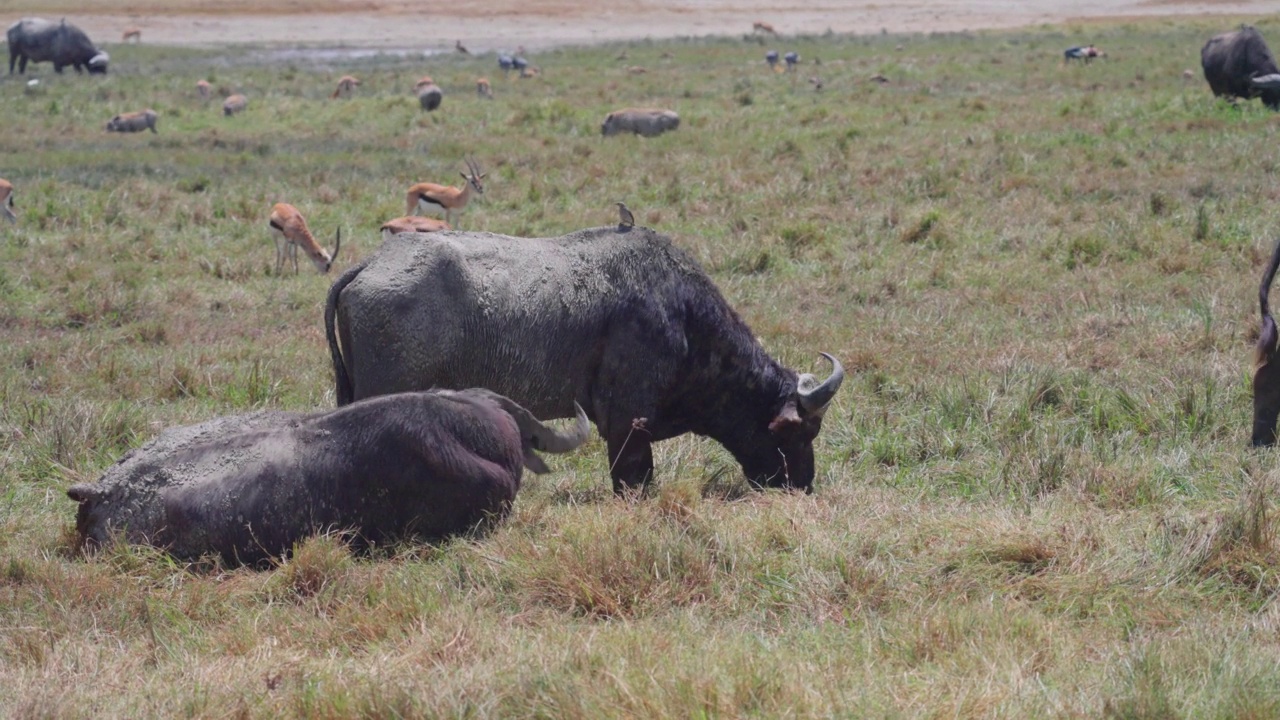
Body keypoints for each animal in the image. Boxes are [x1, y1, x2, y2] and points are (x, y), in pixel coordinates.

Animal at [325, 225, 844, 491]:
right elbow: (634, 480)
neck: (681, 315)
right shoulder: (626, 425)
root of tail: (372, 264)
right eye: (795, 431)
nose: (802, 485)